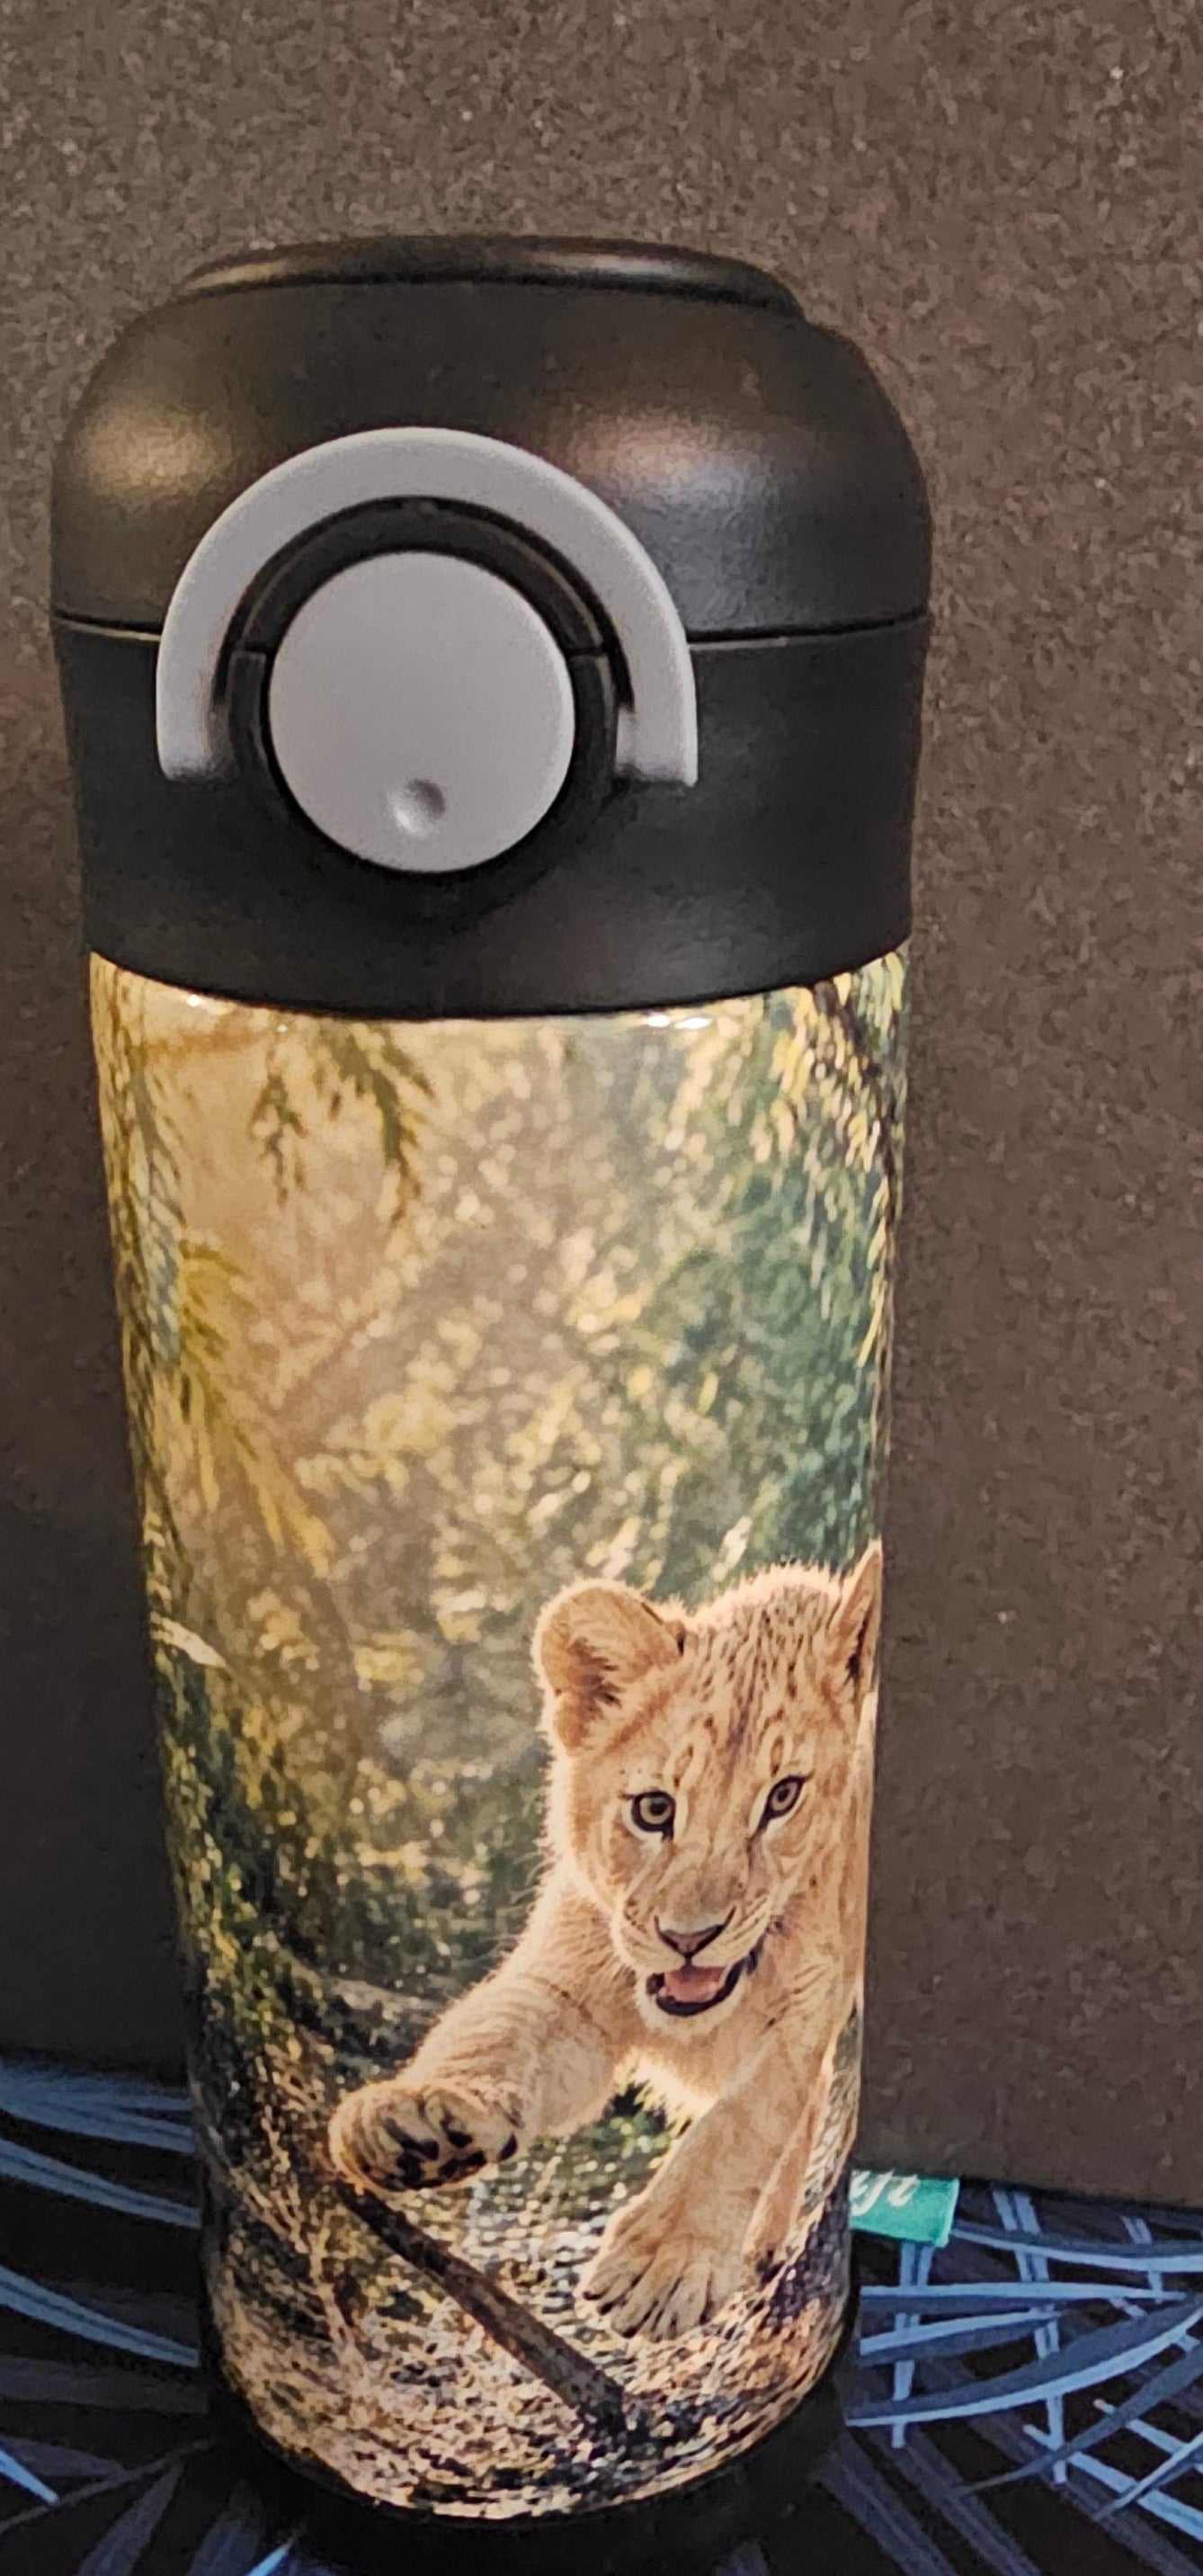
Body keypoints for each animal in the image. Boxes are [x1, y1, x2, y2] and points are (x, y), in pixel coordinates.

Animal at [328, 1543, 882, 2343]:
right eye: (653, 1809)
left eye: (783, 1797)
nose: (690, 1939)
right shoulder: (568, 1984)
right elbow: (493, 2032)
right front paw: (416, 2115)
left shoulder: (807, 2008)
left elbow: (742, 2124)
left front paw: (664, 2262)